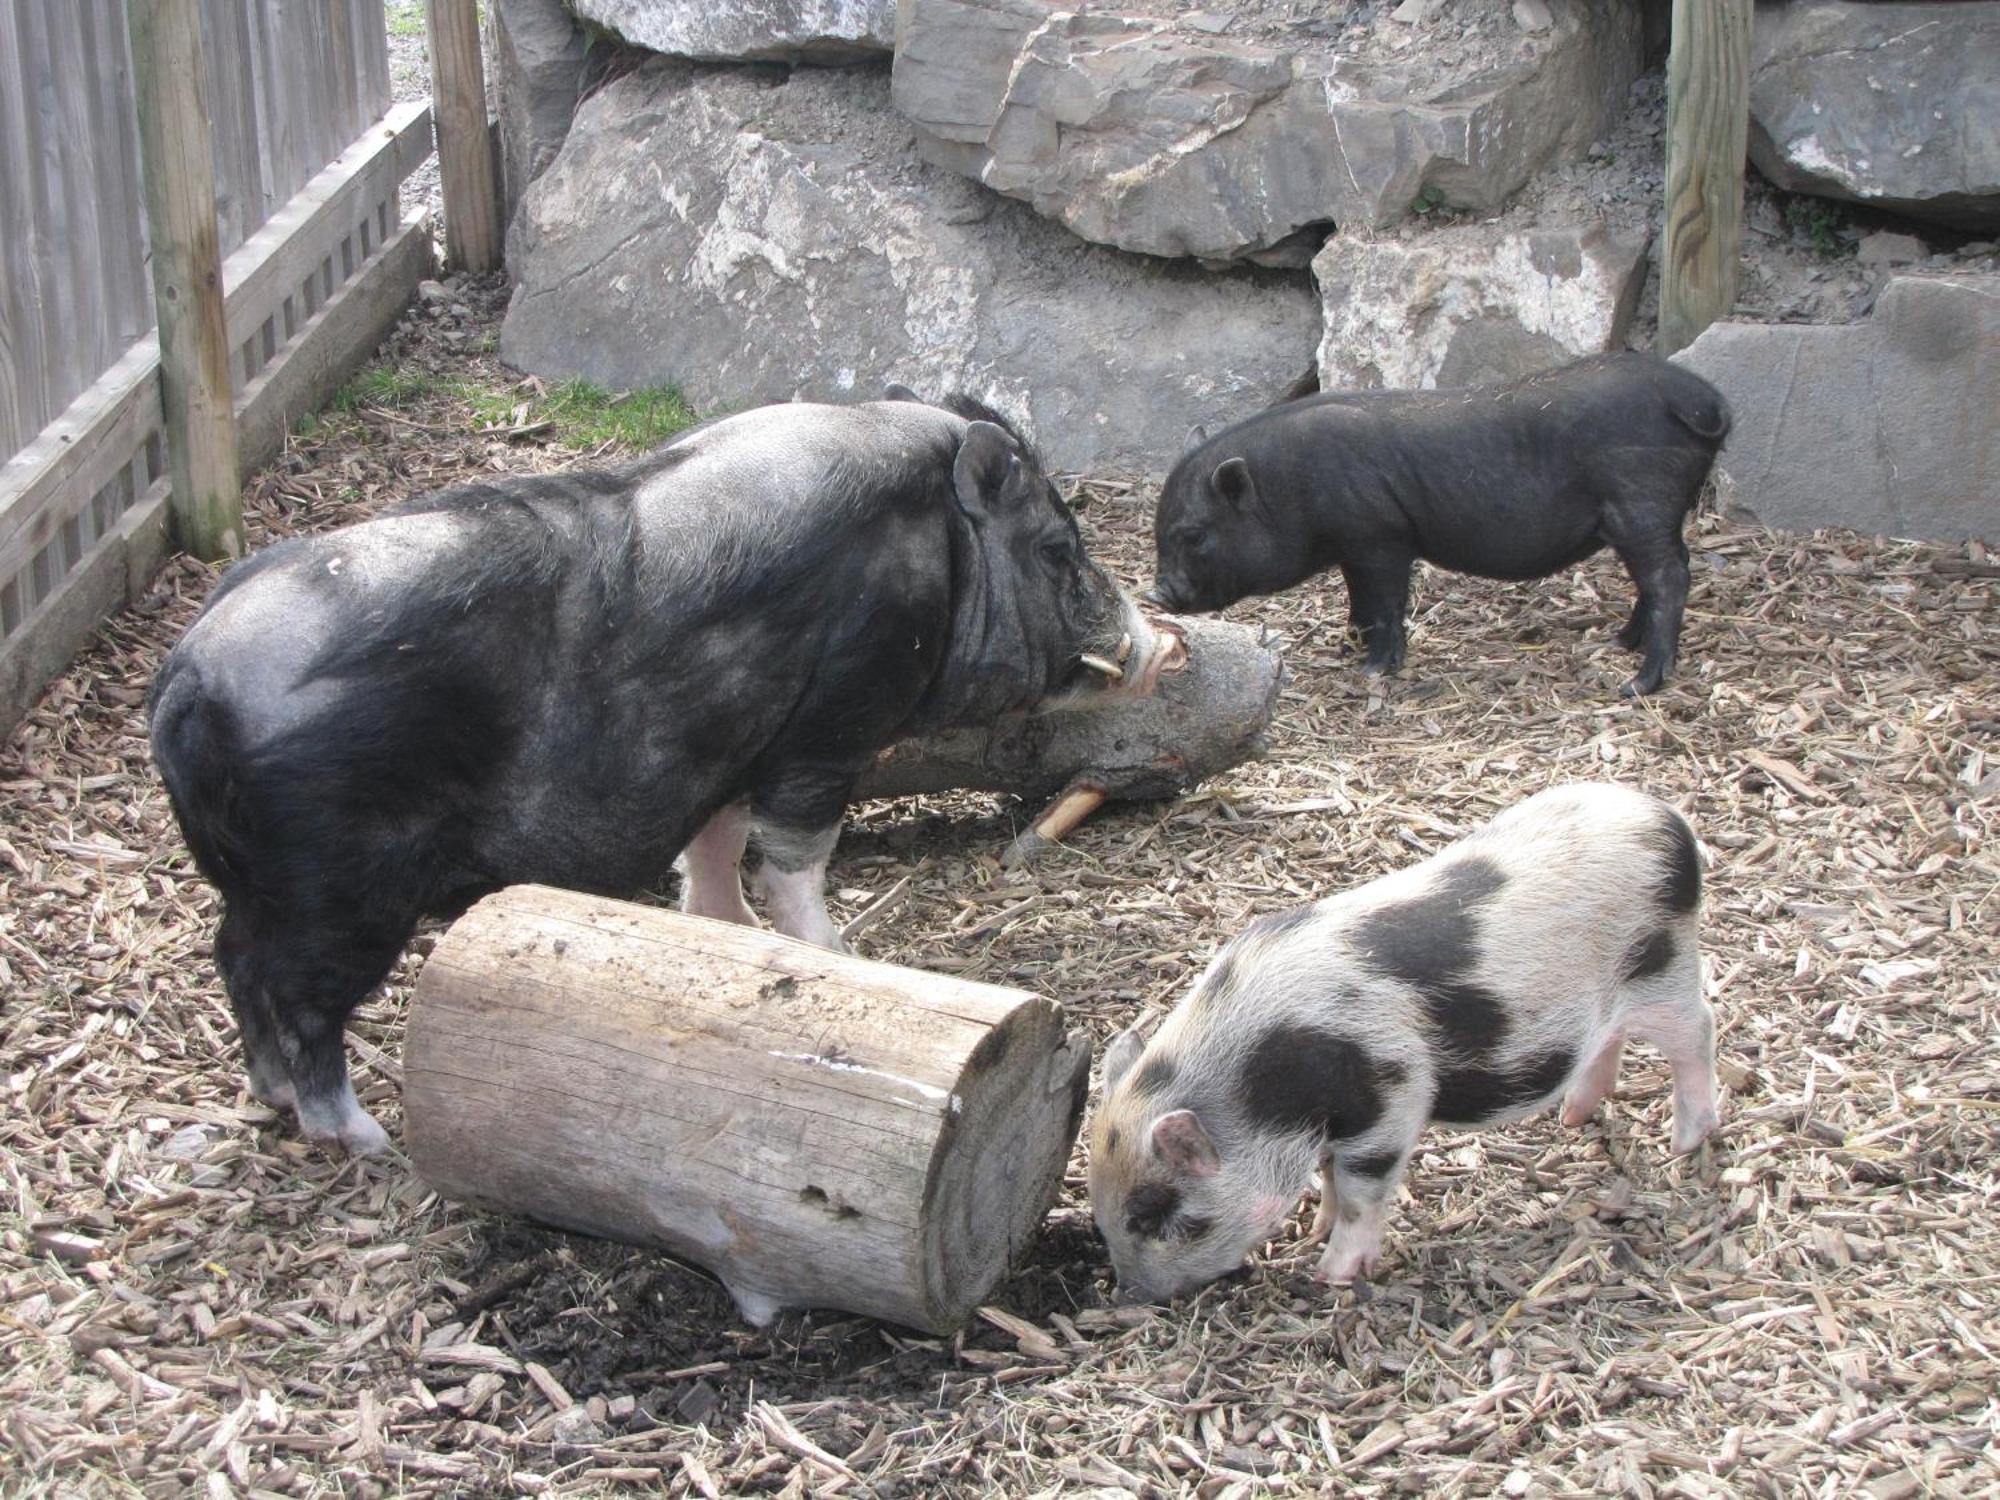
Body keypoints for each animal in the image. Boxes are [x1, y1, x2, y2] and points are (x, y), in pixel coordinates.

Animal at [152, 394, 1168, 1160]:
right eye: (1058, 552)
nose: (1157, 643)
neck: (939, 548)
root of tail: (192, 675)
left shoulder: (732, 747)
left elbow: (714, 844)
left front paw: (726, 935)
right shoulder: (829, 727)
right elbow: (795, 856)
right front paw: (838, 955)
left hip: (260, 889)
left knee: (233, 963)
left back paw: (272, 1096)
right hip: (338, 887)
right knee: (303, 1001)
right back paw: (360, 1137)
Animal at [1088, 788, 1712, 1304]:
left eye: (1156, 1213)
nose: (1128, 1298)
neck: (1264, 1082)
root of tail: (1671, 822)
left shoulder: (1392, 1096)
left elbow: (1360, 1189)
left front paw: (1329, 1275)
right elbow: (1330, 1175)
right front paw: (1316, 1229)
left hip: (1666, 971)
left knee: (1698, 1034)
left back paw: (1685, 1144)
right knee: (1609, 1039)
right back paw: (1573, 1119)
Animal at [1152, 354, 1728, 700]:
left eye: (1194, 535)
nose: (1159, 593)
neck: (1286, 486)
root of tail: (1701, 398)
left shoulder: (1380, 537)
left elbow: (1384, 604)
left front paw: (1372, 671)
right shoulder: (1353, 547)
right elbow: (1358, 602)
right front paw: (1347, 648)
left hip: (1641, 500)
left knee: (1669, 577)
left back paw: (1637, 683)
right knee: (1660, 574)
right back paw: (1618, 643)